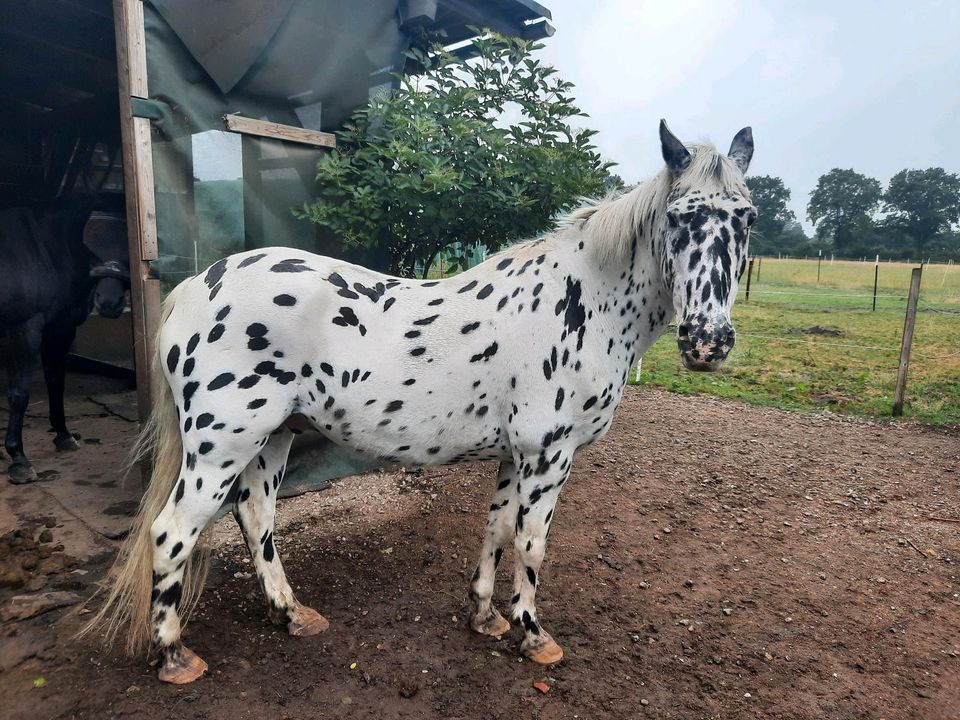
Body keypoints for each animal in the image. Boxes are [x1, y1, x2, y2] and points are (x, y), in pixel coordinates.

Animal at [0, 197, 130, 484]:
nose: (108, 302)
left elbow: (55, 382)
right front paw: (19, 460)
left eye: (129, 243)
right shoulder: (23, 330)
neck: (43, 249)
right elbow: (19, 393)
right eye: (89, 245)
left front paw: (63, 435)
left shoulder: (60, 329)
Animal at [84, 121, 756, 684]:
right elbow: (532, 542)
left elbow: (496, 528)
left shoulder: (515, 455)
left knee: (256, 519)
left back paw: (292, 614)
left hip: (273, 436)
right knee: (172, 532)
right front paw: (532, 635)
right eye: (681, 218)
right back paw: (175, 655)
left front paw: (484, 615)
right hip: (221, 445)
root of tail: (195, 287)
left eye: (746, 218)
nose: (709, 343)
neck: (580, 301)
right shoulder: (549, 455)